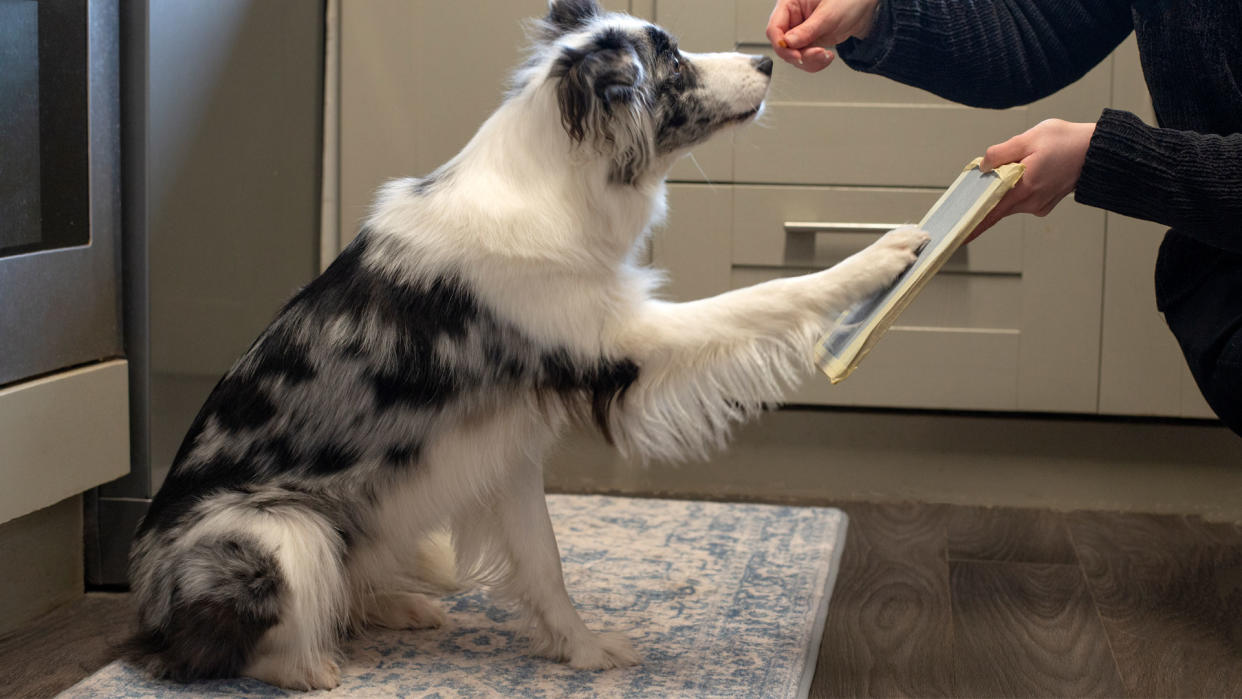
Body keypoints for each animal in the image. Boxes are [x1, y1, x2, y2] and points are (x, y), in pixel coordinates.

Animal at [126, 0, 929, 690]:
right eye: (670, 63)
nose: (766, 61)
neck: (562, 186)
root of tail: (146, 607)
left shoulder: (507, 451)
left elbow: (546, 563)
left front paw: (582, 649)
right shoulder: (626, 339)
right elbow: (765, 296)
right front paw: (880, 258)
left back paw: (396, 606)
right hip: (276, 529)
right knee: (246, 637)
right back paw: (310, 665)